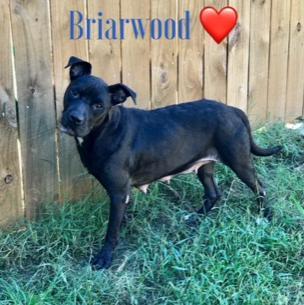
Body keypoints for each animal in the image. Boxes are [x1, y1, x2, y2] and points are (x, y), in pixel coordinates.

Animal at [60, 55, 282, 268]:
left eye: (98, 106)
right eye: (74, 93)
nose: (74, 118)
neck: (103, 129)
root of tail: (233, 109)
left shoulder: (118, 192)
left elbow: (111, 230)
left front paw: (105, 257)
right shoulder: (121, 194)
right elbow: (119, 220)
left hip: (239, 161)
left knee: (260, 189)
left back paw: (267, 217)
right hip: (205, 165)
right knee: (213, 193)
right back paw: (195, 219)